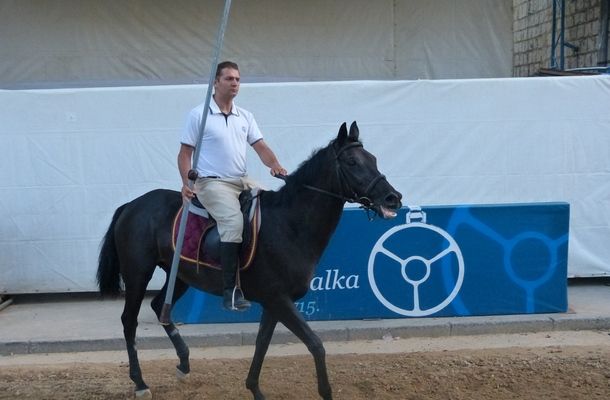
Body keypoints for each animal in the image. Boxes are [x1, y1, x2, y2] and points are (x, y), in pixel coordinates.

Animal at [97, 121, 402, 399]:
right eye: (352, 162)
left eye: (373, 159)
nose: (393, 198)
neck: (289, 224)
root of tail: (133, 204)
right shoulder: (279, 299)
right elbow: (315, 344)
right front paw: (325, 392)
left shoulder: (273, 303)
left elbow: (262, 343)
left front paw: (254, 389)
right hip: (138, 275)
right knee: (129, 321)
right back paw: (140, 382)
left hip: (181, 275)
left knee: (161, 307)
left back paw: (183, 363)